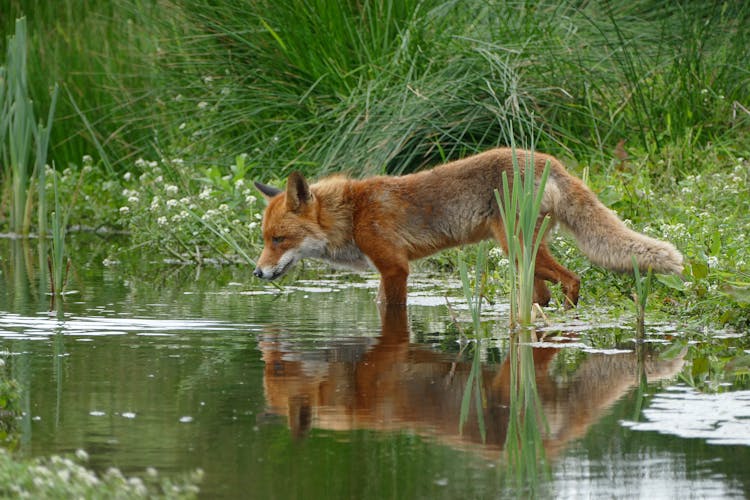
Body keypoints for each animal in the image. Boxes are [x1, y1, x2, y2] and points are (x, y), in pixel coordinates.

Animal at [254, 146, 688, 306]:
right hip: (524, 257)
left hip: (517, 247)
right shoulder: (386, 270)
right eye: (264, 240)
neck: (353, 213)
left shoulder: (395, 268)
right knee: (544, 294)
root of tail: (549, 160)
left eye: (279, 239)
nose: (256, 273)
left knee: (573, 279)